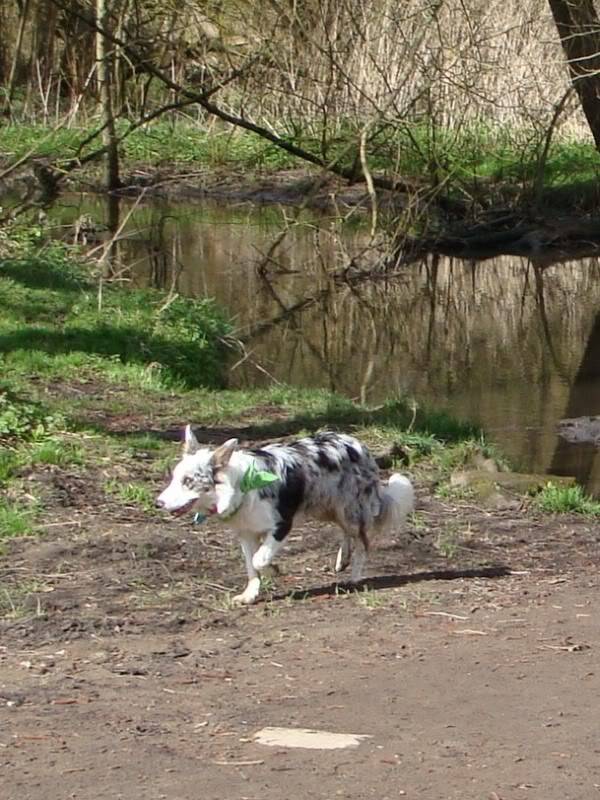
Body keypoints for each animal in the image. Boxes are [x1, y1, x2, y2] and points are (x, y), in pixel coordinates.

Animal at [157, 428, 414, 604]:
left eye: (188, 481)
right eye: (174, 478)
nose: (158, 503)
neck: (242, 485)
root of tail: (357, 444)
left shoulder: (281, 525)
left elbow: (259, 559)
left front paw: (274, 570)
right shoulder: (246, 534)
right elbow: (251, 566)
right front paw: (250, 595)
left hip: (348, 511)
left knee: (363, 541)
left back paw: (355, 576)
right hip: (325, 508)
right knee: (347, 534)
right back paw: (343, 560)